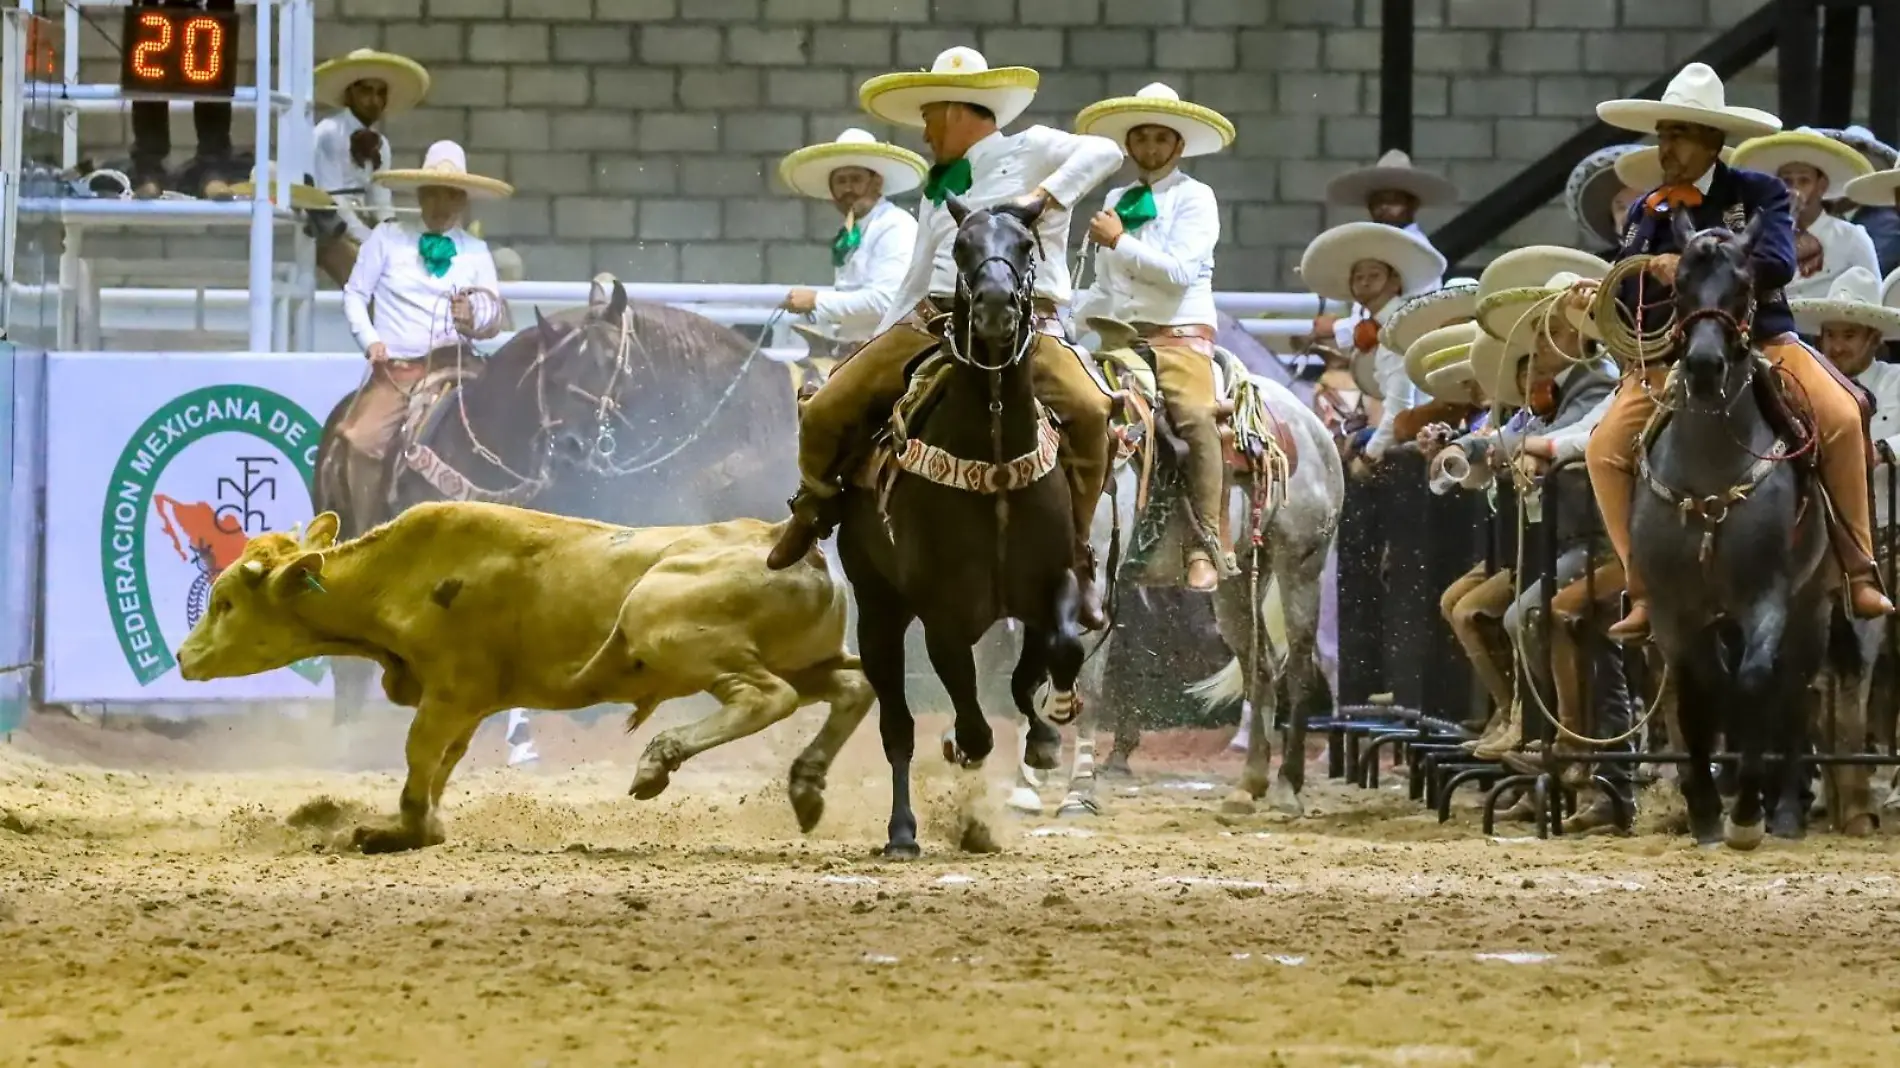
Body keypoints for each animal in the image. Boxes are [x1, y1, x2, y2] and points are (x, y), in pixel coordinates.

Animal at [174, 501, 870, 851]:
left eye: (226, 603)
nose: (183, 656)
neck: (394, 578)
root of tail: (793, 544)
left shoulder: (452, 691)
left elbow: (421, 754)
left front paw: (400, 830)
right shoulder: (469, 702)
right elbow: (443, 761)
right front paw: (423, 823)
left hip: (667, 627)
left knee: (767, 697)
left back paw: (658, 758)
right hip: (808, 658)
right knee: (853, 688)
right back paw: (806, 786)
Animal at [1641, 211, 1862, 847]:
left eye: (1743, 286)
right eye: (1678, 285)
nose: (1703, 366)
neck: (1709, 473)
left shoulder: (1767, 598)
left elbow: (1757, 683)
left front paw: (1743, 812)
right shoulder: (1673, 607)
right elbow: (1697, 693)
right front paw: (1704, 809)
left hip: (1812, 606)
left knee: (1793, 692)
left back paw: (1782, 807)